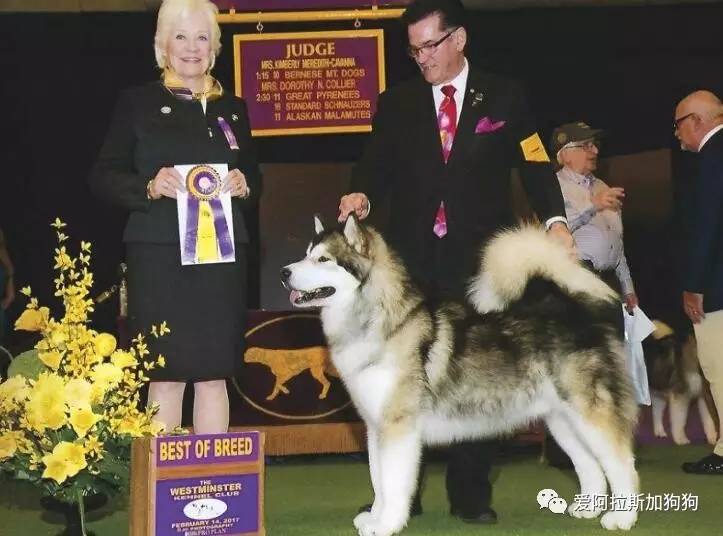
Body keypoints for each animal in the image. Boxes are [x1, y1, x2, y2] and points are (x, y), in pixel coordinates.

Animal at [282, 216, 640, 532]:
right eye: (305, 254)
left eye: (323, 259)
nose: (284, 272)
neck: (382, 322)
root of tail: (579, 314)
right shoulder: (375, 426)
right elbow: (378, 480)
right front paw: (374, 517)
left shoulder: (398, 427)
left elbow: (393, 482)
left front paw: (387, 524)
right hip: (561, 420)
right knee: (589, 463)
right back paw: (588, 509)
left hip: (588, 414)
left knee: (621, 463)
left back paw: (621, 518)